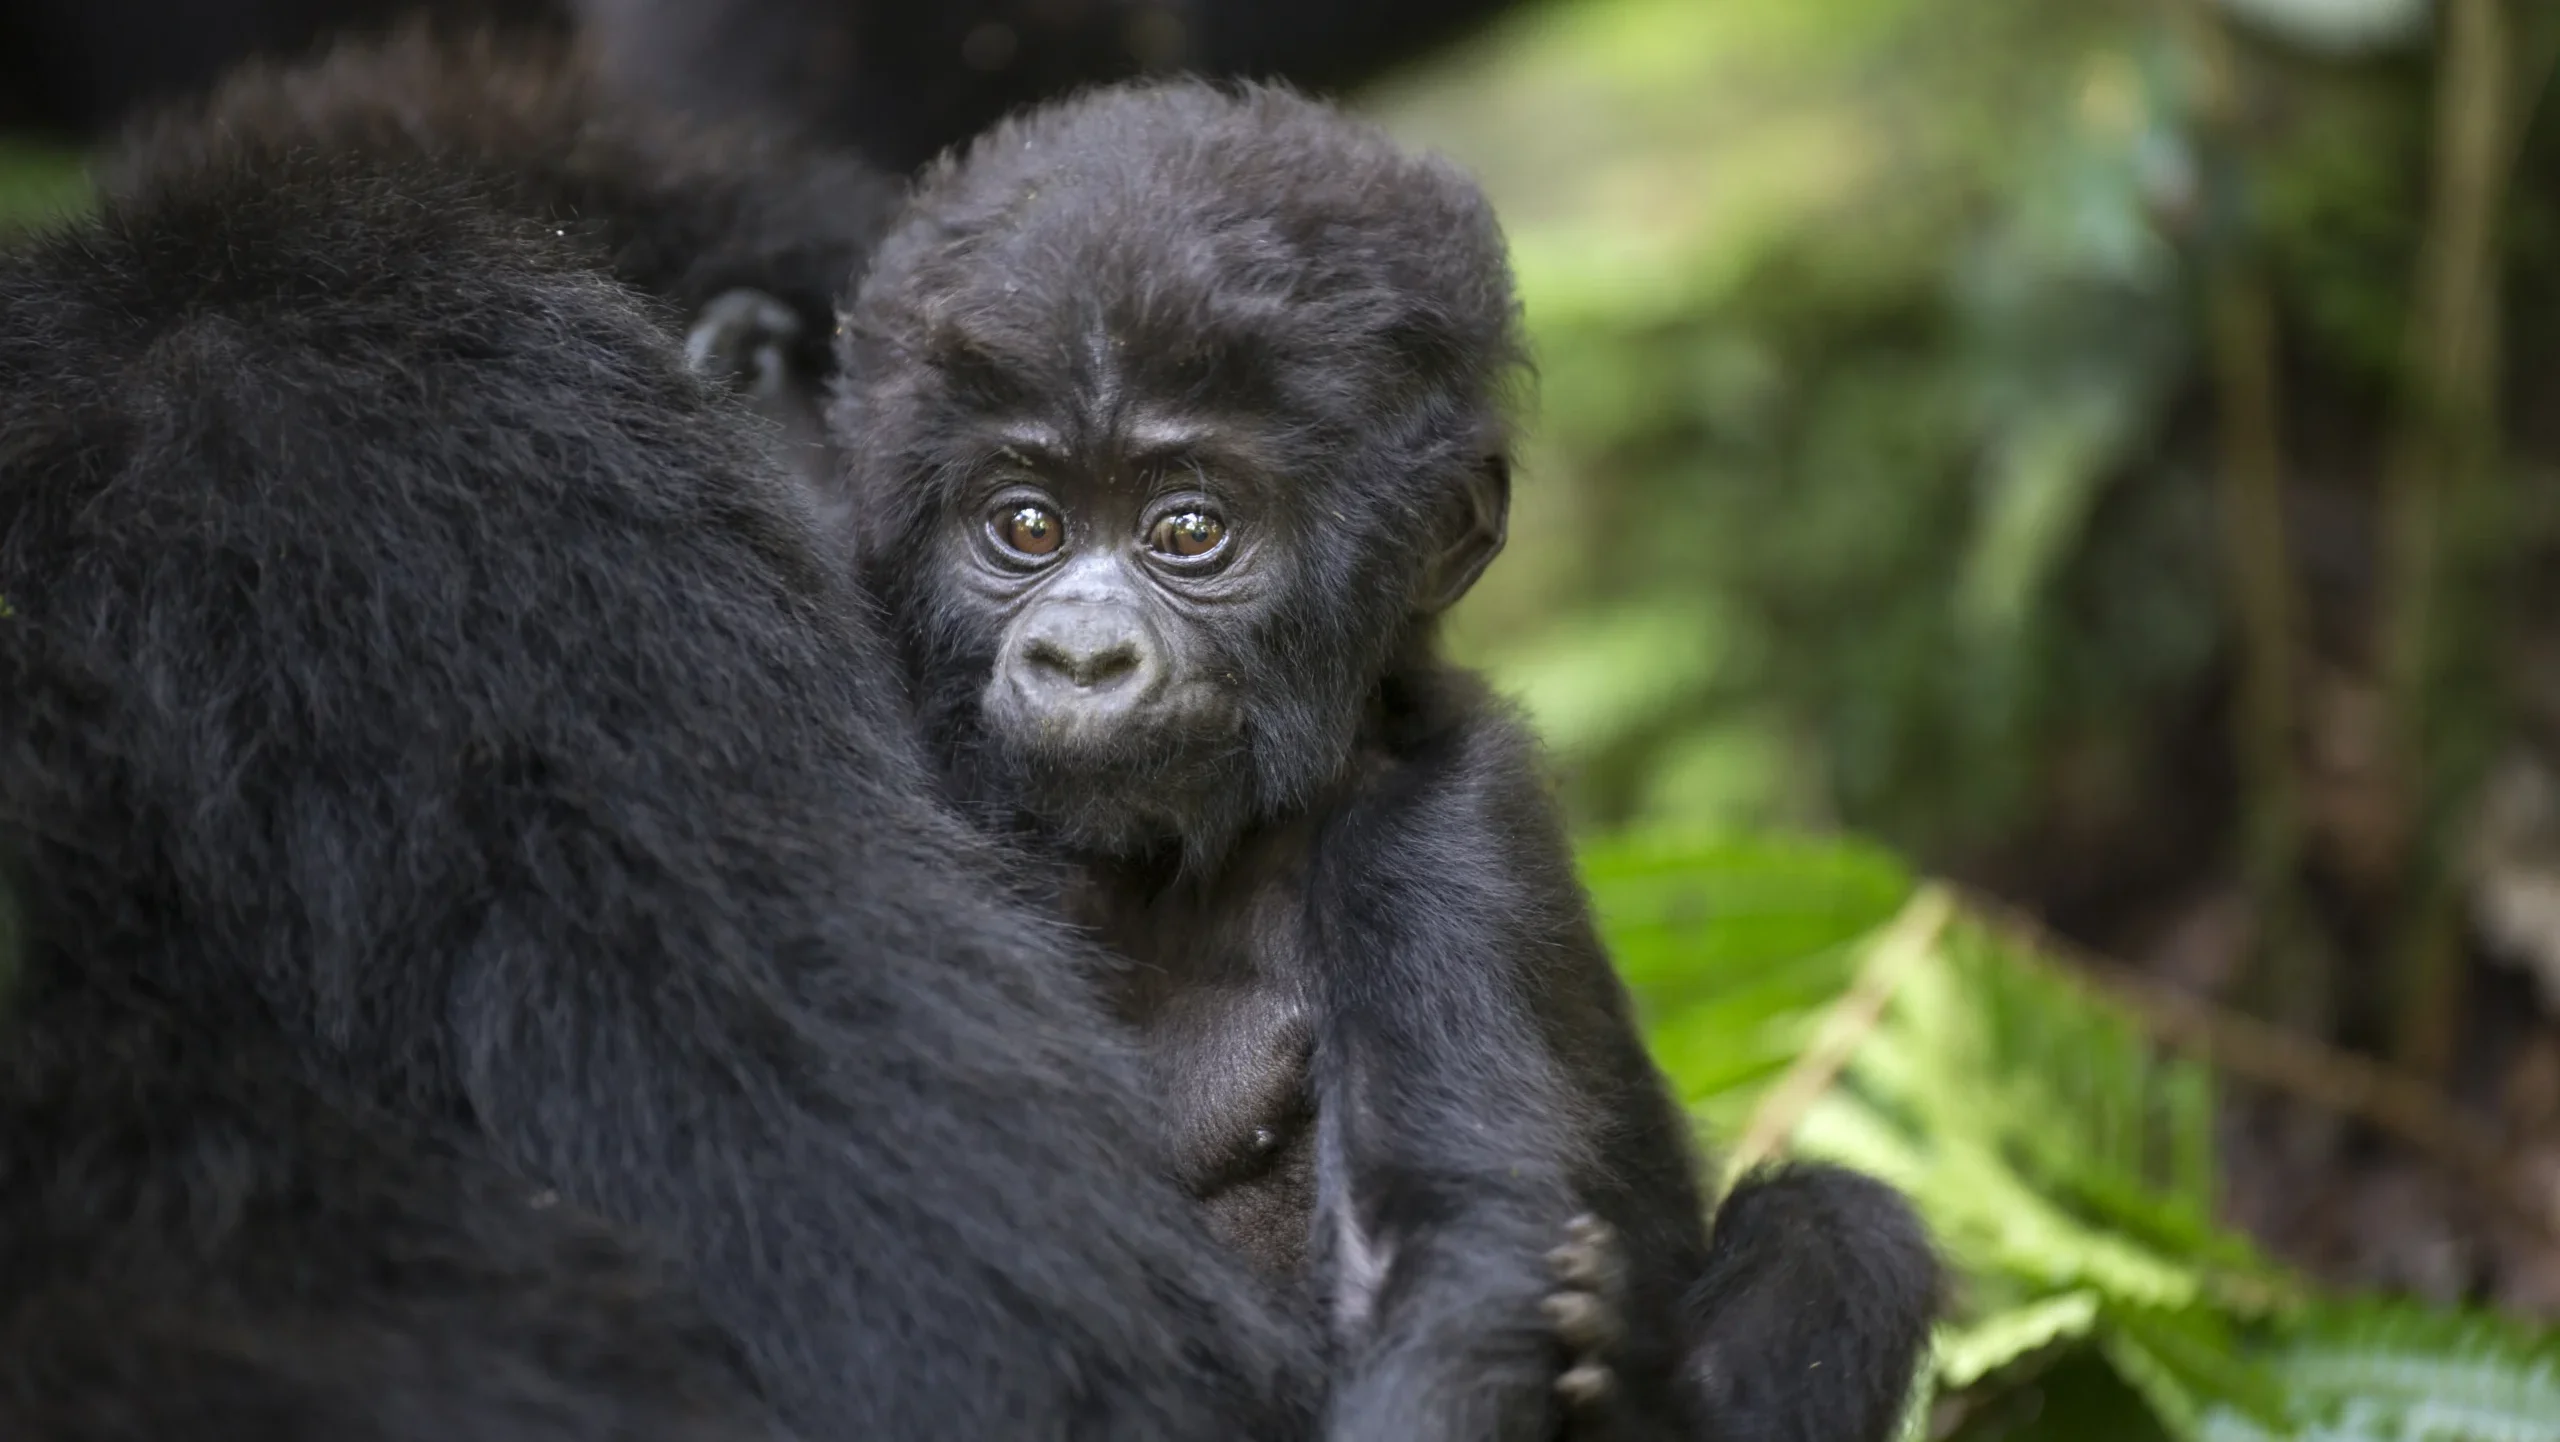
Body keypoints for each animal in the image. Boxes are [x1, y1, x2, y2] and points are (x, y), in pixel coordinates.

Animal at [833, 79, 1941, 1442]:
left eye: (1188, 530)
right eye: (1027, 525)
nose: (1081, 656)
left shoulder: (1442, 827)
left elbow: (1436, 1247)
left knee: (1843, 1223)